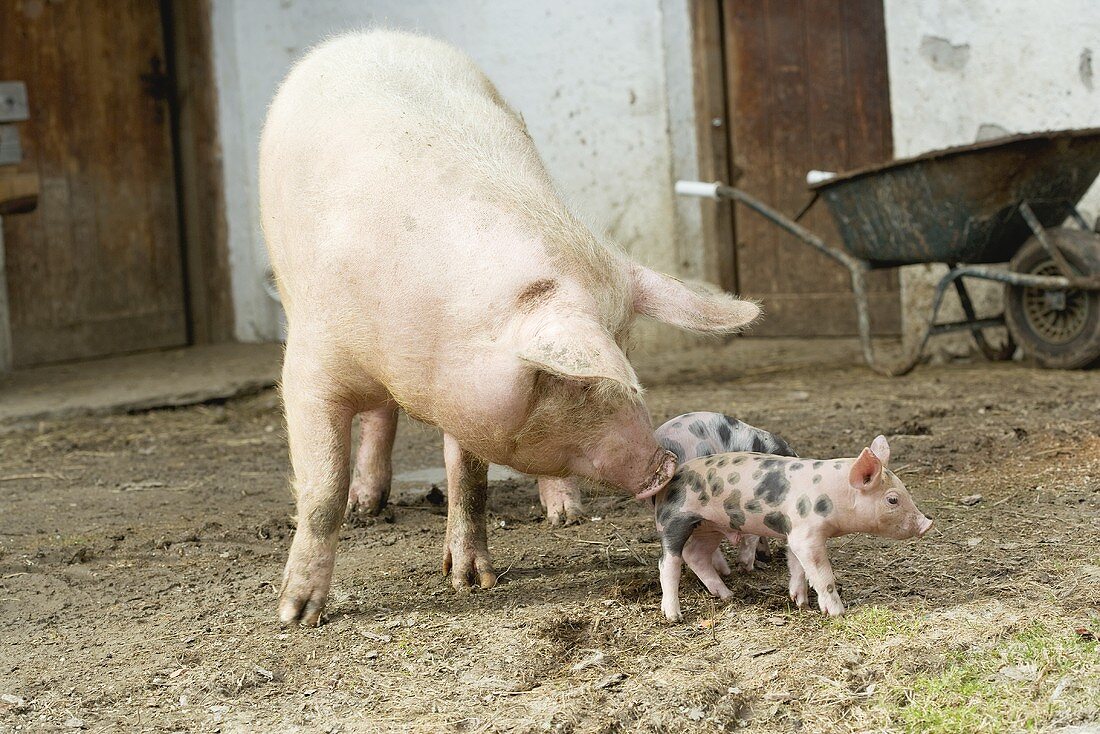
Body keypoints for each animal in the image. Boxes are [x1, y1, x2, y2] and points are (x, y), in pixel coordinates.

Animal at [258, 30, 761, 625]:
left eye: (626, 347)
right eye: (569, 382)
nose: (664, 463)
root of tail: (372, 34)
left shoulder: (467, 393)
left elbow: (469, 478)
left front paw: (472, 583)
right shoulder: (311, 365)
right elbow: (321, 491)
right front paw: (296, 615)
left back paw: (565, 514)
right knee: (379, 420)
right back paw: (367, 506)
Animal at [655, 435, 932, 620]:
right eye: (892, 499)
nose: (927, 523)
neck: (833, 494)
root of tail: (670, 483)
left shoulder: (795, 533)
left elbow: (798, 567)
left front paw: (800, 603)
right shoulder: (805, 534)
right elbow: (822, 574)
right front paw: (837, 613)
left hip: (710, 526)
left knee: (696, 555)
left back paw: (728, 596)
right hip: (675, 521)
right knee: (668, 562)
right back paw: (674, 616)